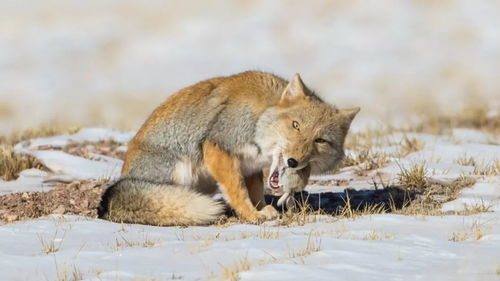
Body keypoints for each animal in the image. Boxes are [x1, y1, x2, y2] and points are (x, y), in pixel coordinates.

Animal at [98, 70, 360, 225]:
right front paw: (251, 215)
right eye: (295, 126)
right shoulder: (218, 147)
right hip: (179, 171)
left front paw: (262, 210)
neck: (260, 116)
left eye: (320, 140)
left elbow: (255, 193)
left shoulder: (250, 166)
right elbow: (238, 191)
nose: (293, 162)